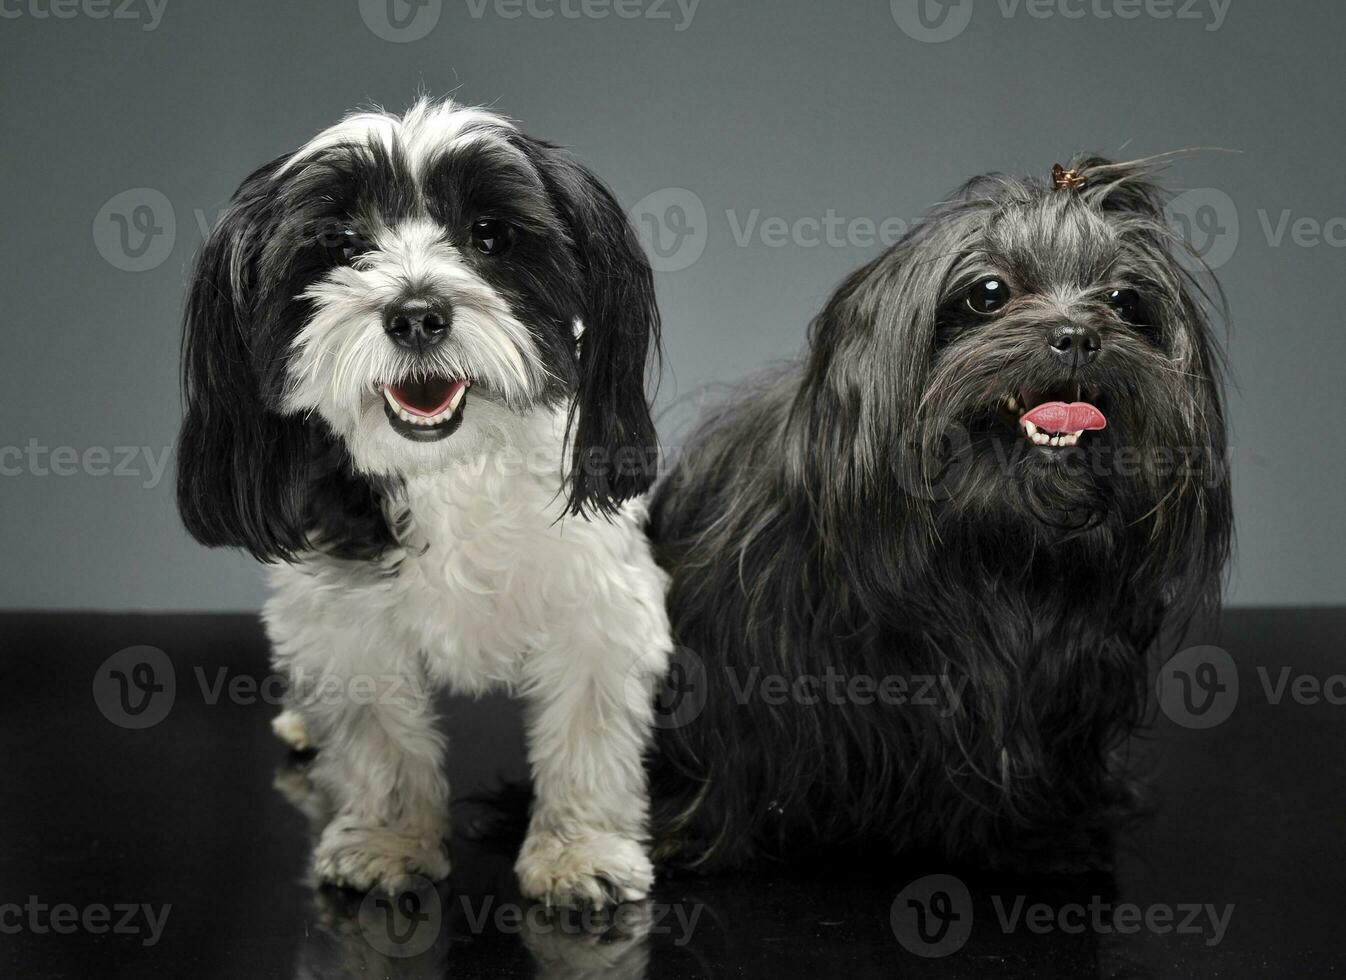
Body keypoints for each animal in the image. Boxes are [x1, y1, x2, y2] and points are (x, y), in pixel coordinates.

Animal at [179, 99, 673, 904]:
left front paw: (580, 850)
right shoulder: (342, 608)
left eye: (490, 235)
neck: (450, 468)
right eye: (342, 244)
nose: (416, 313)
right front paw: (386, 840)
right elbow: (377, 737)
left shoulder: (598, 599)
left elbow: (588, 731)